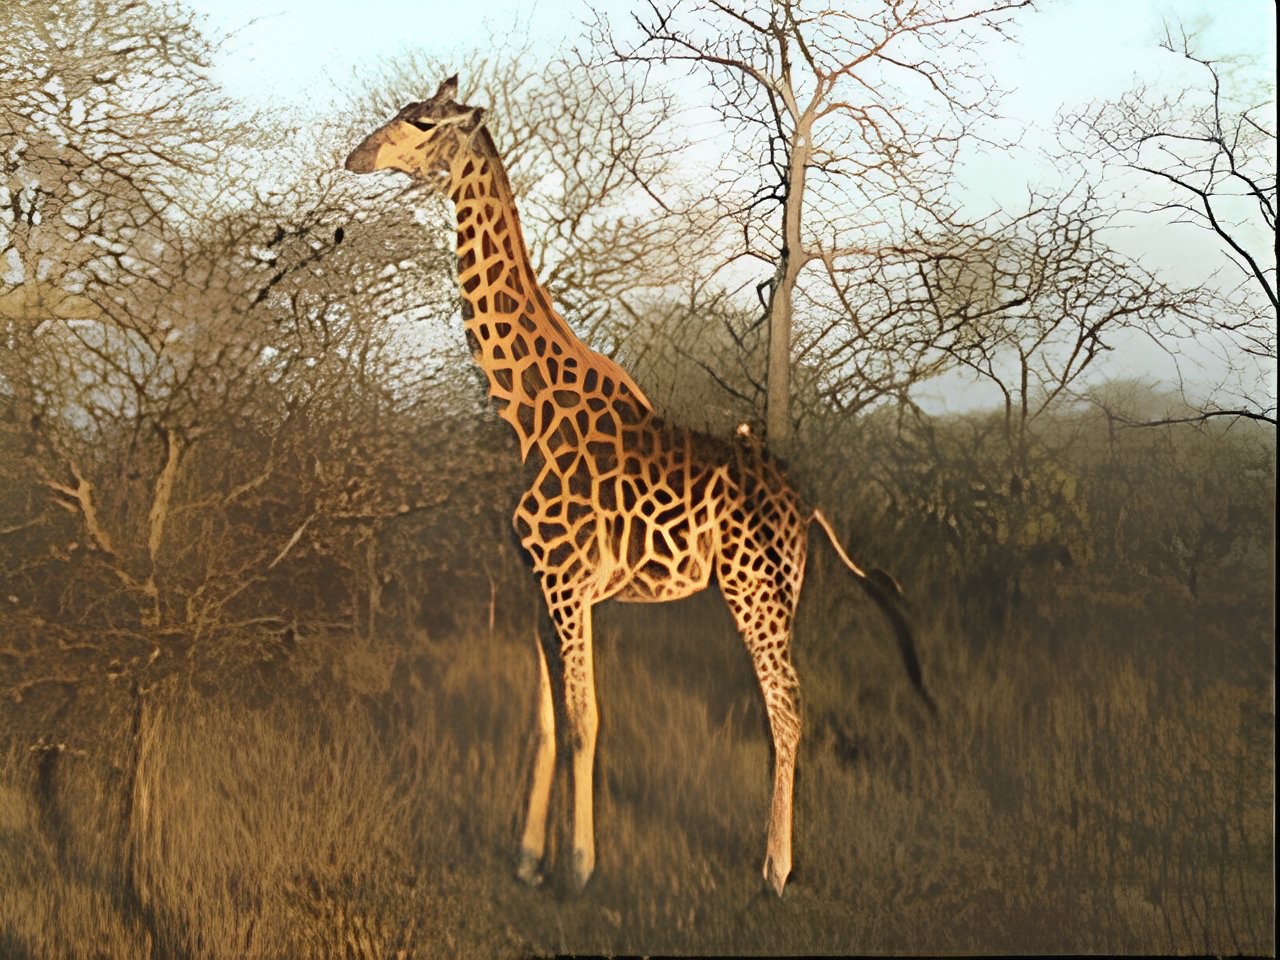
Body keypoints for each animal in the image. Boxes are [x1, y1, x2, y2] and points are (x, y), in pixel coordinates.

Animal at [344, 76, 936, 896]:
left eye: (422, 123)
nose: (354, 157)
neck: (527, 414)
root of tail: (807, 503)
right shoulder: (539, 585)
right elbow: (548, 721)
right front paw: (527, 859)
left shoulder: (566, 583)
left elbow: (587, 721)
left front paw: (579, 867)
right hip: (774, 590)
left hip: (754, 590)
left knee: (787, 709)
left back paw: (775, 868)